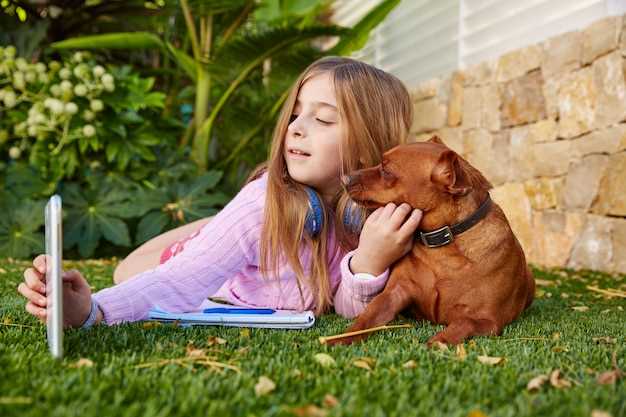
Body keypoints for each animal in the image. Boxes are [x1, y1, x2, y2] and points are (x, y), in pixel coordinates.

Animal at [332, 136, 532, 344]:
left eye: (386, 171)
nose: (344, 178)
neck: (441, 249)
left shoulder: (489, 321)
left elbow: (464, 322)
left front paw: (438, 342)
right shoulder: (394, 293)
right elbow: (367, 316)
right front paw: (341, 338)